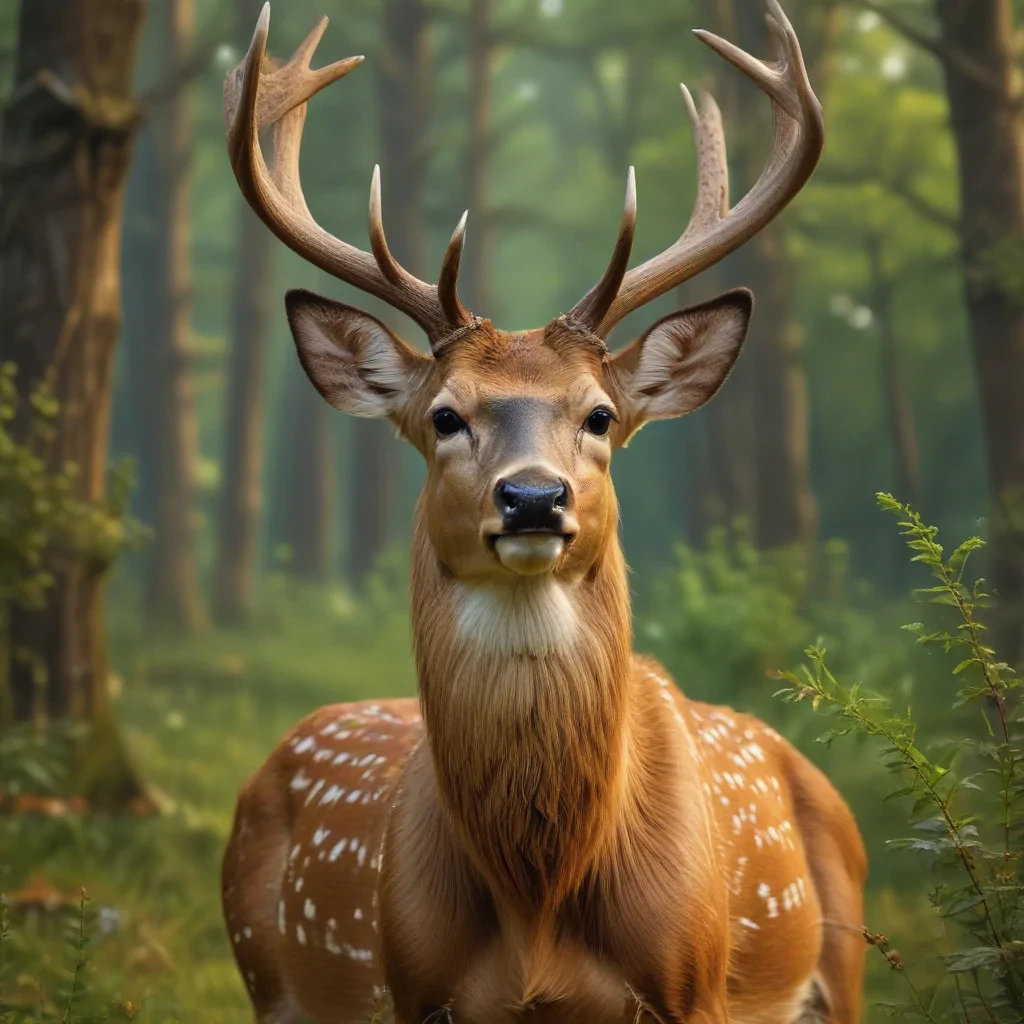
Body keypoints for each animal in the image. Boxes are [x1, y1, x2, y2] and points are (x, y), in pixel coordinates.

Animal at [220, 3, 867, 1022]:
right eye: (445, 416)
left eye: (599, 415)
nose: (533, 496)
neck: (539, 900)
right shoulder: (415, 985)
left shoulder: (695, 989)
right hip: (265, 975)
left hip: (843, 960)